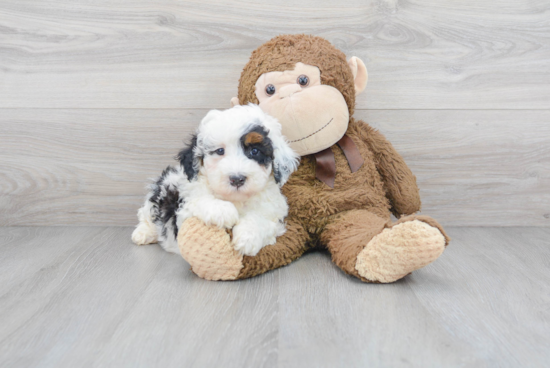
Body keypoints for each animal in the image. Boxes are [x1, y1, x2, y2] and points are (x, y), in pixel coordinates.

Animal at [132, 104, 300, 256]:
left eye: (255, 151)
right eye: (220, 151)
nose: (237, 179)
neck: (236, 199)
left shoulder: (275, 214)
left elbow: (261, 219)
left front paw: (247, 239)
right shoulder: (184, 207)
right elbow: (200, 201)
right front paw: (225, 211)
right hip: (160, 192)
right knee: (146, 216)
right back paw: (142, 234)